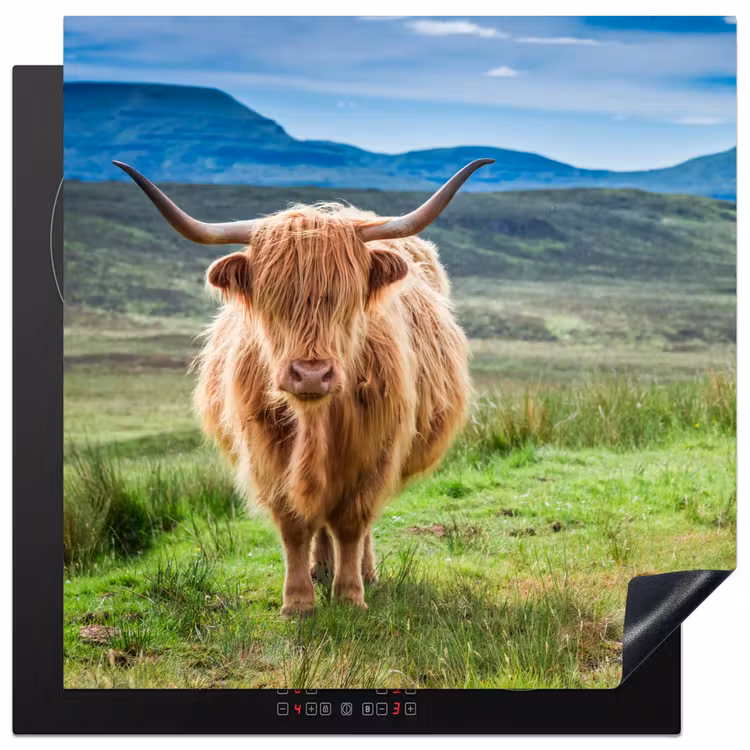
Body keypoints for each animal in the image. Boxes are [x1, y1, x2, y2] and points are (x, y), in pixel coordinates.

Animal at [114, 158, 493, 615]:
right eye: (272, 299)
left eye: (346, 298)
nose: (311, 374)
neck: (316, 420)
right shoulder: (267, 452)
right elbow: (294, 524)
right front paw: (298, 601)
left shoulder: (374, 451)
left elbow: (352, 523)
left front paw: (349, 596)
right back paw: (320, 568)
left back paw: (362, 572)